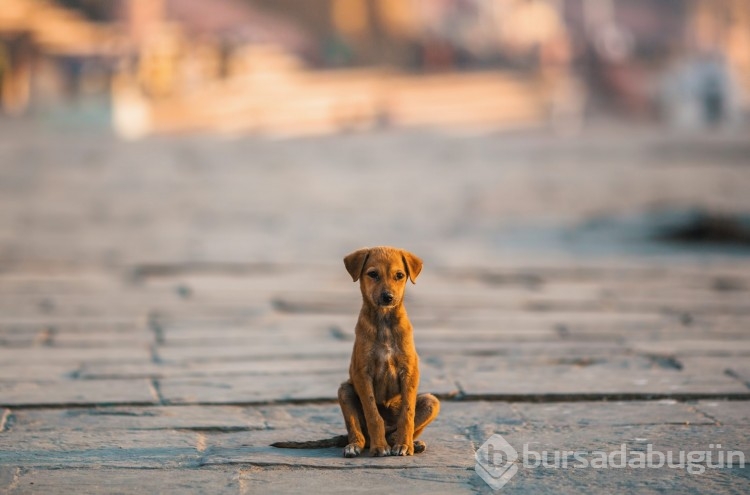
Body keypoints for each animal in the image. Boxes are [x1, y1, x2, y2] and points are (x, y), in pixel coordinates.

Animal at [340, 246, 440, 460]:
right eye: (373, 274)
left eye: (399, 275)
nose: (388, 297)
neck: (384, 321)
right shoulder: (362, 374)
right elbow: (373, 413)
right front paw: (379, 447)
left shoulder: (409, 372)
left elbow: (407, 414)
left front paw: (404, 445)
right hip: (345, 390)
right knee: (359, 433)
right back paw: (356, 445)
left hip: (431, 401)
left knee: (399, 430)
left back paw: (410, 443)